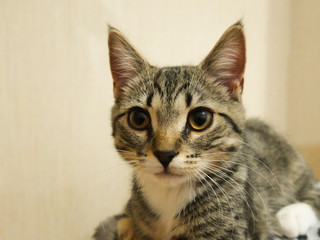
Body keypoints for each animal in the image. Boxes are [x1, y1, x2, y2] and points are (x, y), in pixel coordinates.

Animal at [94, 22, 320, 240]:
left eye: (200, 119)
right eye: (139, 119)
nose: (164, 154)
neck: (169, 195)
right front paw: (127, 228)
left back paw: (292, 216)